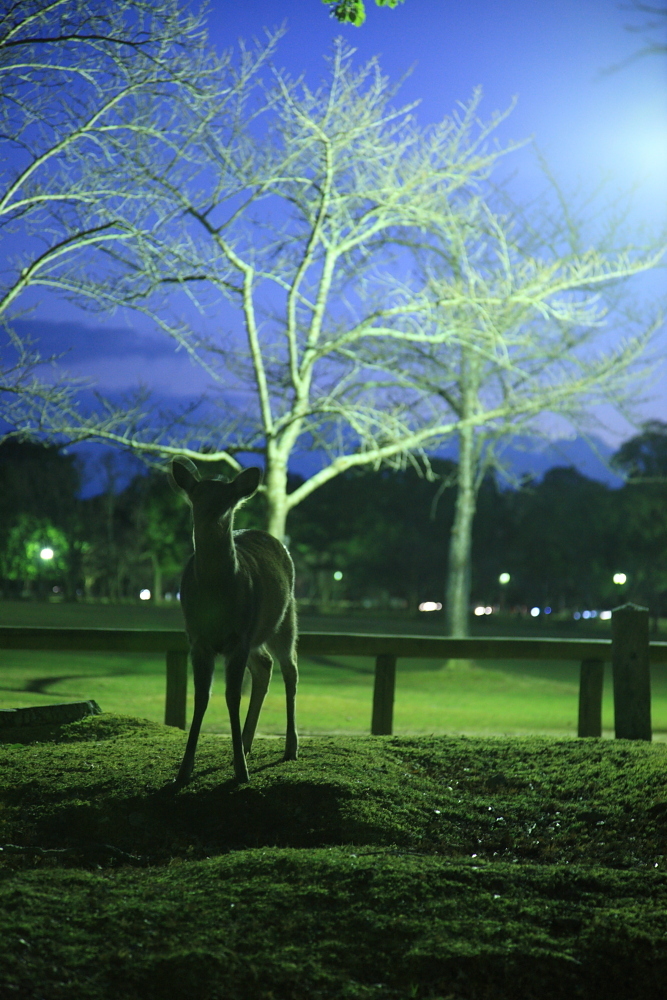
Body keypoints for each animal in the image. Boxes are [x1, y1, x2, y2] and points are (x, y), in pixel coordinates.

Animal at [171, 456, 298, 788]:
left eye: (227, 498)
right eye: (197, 495)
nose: (212, 515)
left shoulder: (238, 639)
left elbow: (231, 697)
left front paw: (241, 772)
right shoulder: (198, 640)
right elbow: (201, 698)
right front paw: (183, 771)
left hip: (285, 619)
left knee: (290, 670)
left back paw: (290, 747)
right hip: (256, 634)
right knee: (264, 666)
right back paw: (246, 742)